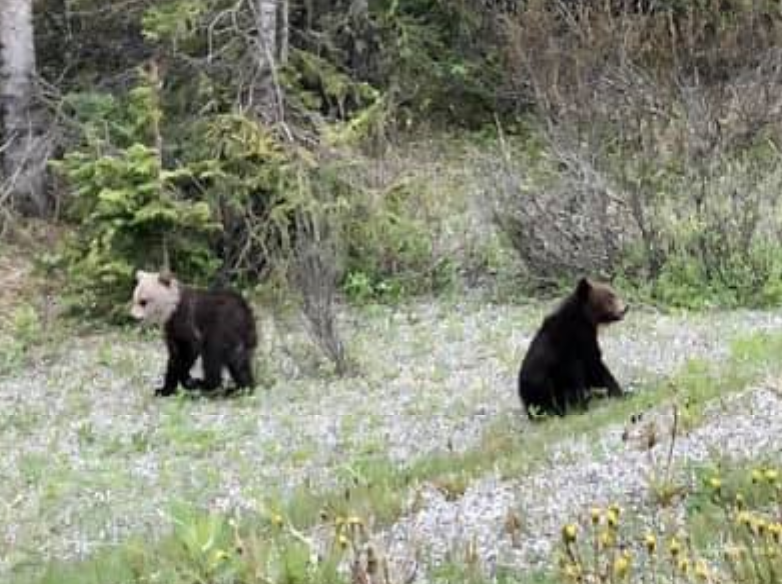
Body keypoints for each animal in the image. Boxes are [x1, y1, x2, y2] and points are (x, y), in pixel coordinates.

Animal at [517, 277, 627, 419]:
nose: (624, 308)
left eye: (614, 293)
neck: (583, 318)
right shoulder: (575, 344)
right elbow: (593, 367)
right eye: (609, 297)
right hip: (543, 387)